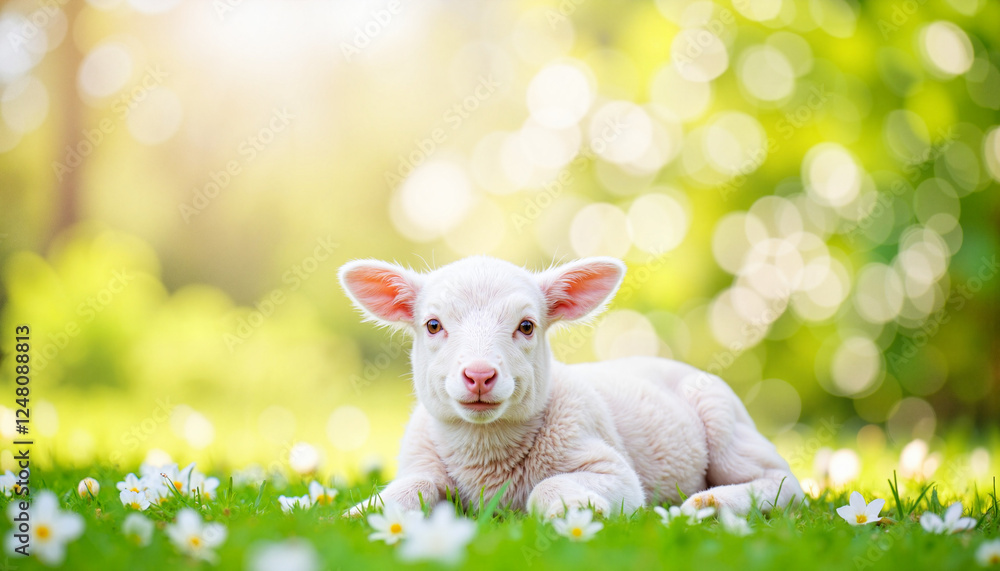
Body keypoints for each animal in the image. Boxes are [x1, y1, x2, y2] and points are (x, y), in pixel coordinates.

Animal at [339, 255, 804, 518]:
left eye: (527, 326)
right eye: (433, 325)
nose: (480, 375)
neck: (486, 449)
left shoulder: (611, 468)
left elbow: (549, 486)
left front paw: (580, 509)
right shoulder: (419, 465)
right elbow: (409, 489)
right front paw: (356, 515)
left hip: (726, 423)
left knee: (783, 483)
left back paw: (712, 504)